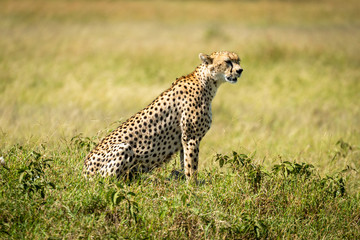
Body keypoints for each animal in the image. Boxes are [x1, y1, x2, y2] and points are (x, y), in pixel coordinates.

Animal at [83, 51, 242, 182]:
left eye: (238, 60)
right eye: (228, 61)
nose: (240, 70)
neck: (207, 82)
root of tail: (83, 171)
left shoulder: (184, 139)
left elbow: (185, 162)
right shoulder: (191, 137)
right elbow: (191, 166)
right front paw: (193, 188)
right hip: (122, 148)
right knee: (106, 181)